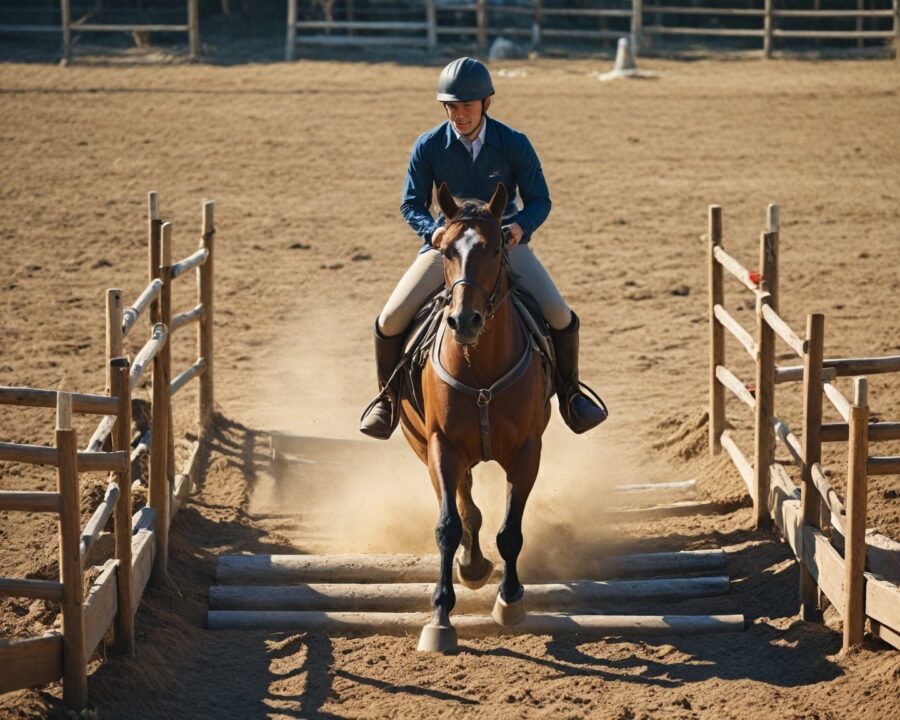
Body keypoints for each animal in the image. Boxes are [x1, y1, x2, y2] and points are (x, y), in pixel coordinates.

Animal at [398, 181, 551, 652]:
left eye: (497, 247)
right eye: (446, 249)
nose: (464, 320)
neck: (479, 362)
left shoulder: (527, 452)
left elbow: (510, 531)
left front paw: (510, 600)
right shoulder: (441, 447)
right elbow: (448, 525)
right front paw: (440, 616)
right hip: (425, 448)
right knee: (465, 506)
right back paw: (471, 564)